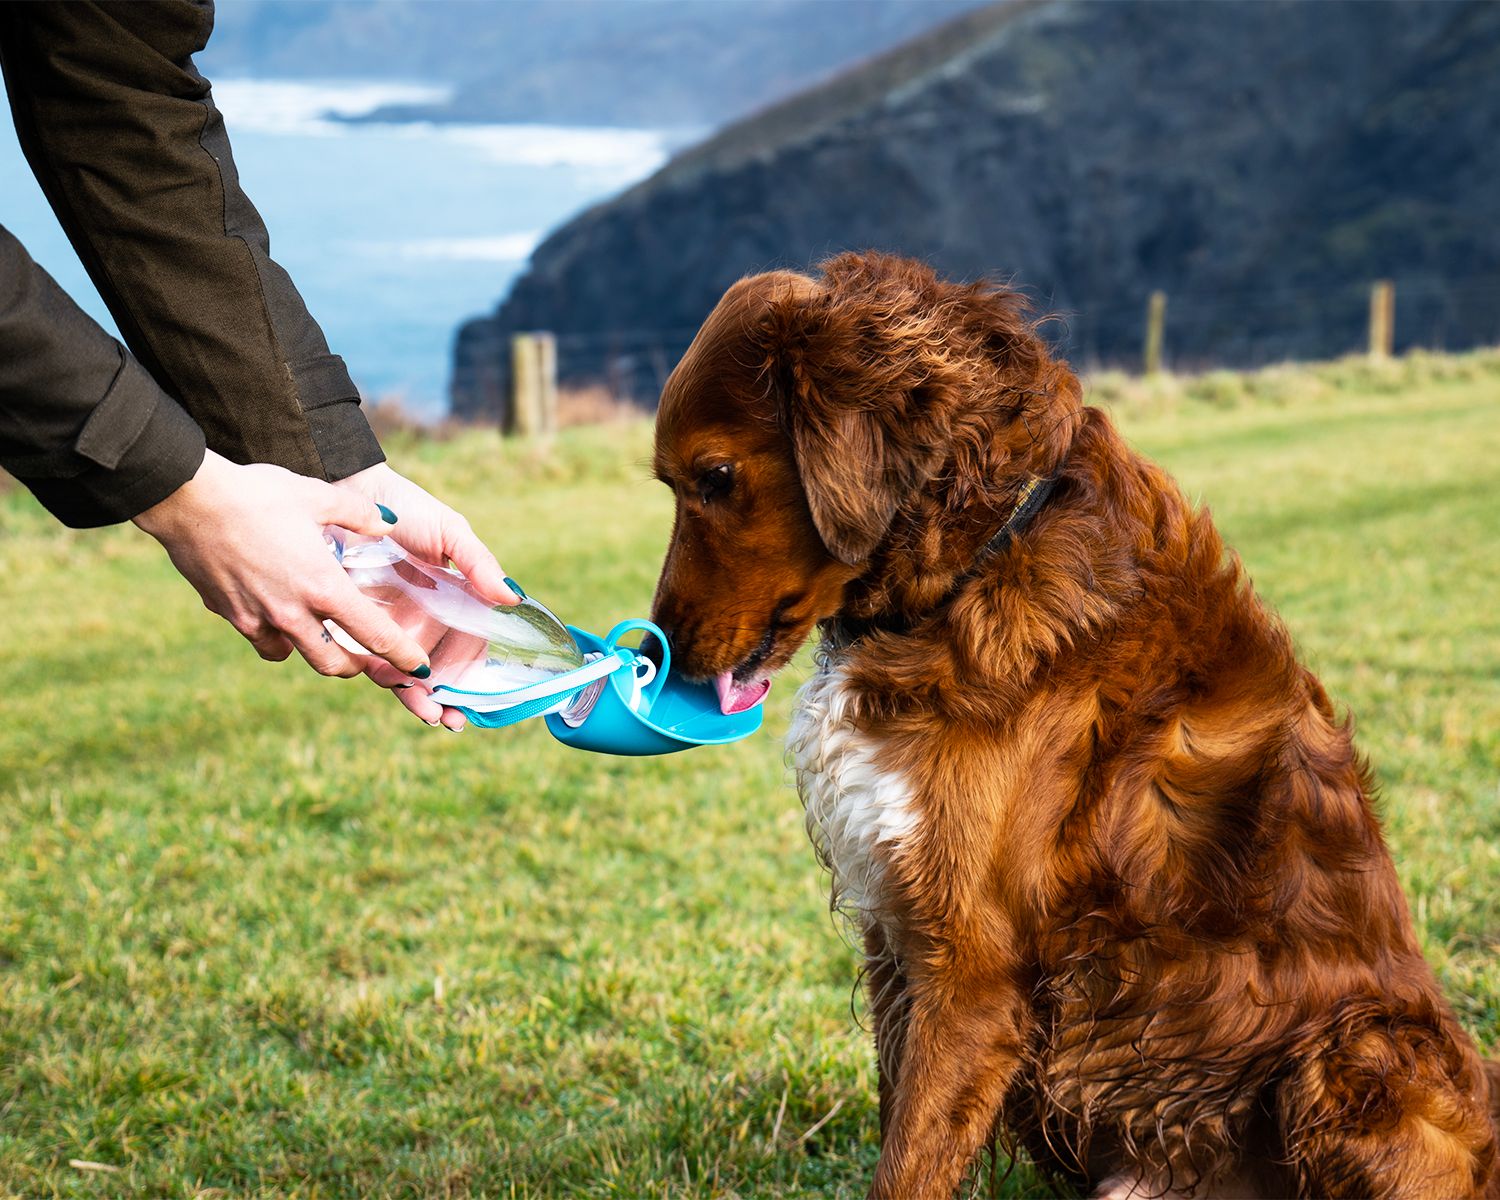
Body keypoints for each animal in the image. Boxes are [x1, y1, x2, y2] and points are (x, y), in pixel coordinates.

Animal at [654, 250, 1500, 1188]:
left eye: (715, 479)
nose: (660, 654)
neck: (980, 554)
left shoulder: (971, 969)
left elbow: (908, 1165)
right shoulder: (897, 937)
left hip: (1353, 1050)